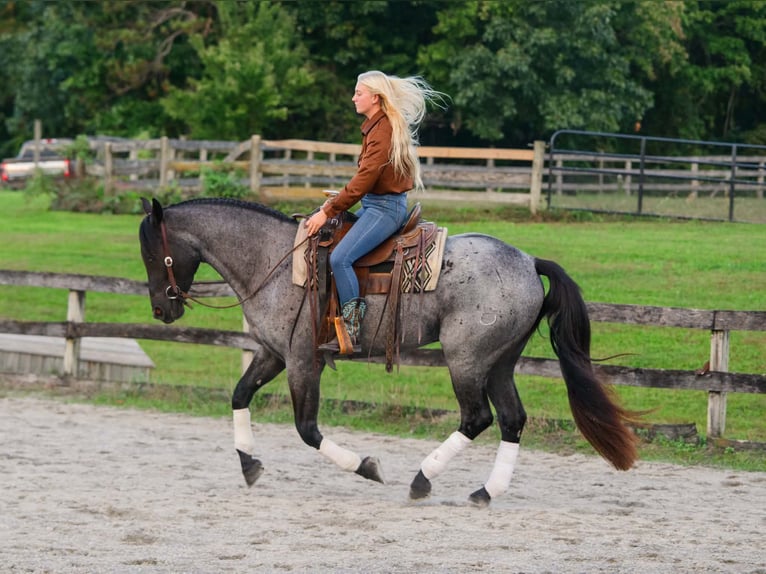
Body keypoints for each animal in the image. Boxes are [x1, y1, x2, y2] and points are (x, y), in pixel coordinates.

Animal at [138, 197, 638, 506]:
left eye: (151, 254)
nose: (162, 309)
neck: (276, 262)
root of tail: (529, 262)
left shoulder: (301, 361)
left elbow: (307, 429)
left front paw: (366, 466)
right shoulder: (271, 354)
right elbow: (240, 395)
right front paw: (249, 465)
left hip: (467, 359)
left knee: (477, 418)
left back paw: (422, 480)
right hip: (500, 362)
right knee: (512, 420)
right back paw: (484, 493)